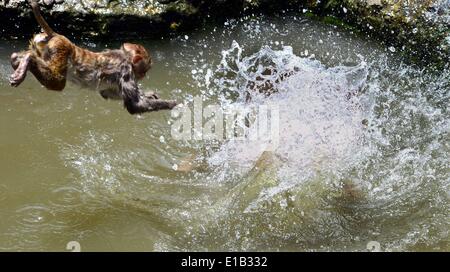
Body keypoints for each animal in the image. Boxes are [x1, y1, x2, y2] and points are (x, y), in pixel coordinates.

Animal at [9, 0, 178, 115]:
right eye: (144, 69)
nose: (143, 75)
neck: (124, 55)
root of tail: (56, 35)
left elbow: (108, 93)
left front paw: (149, 94)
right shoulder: (126, 69)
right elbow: (134, 106)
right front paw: (172, 104)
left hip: (41, 45)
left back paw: (16, 59)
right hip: (61, 50)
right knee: (57, 82)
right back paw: (27, 60)